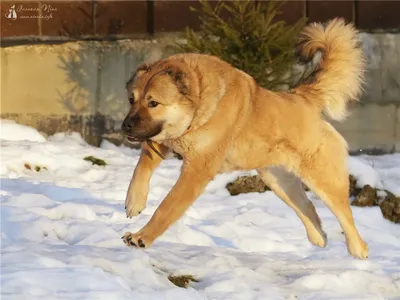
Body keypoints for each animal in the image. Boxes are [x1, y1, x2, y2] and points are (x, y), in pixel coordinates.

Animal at [121, 18, 368, 258]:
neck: (199, 105)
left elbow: (167, 207)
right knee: (308, 208)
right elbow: (140, 168)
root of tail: (302, 98)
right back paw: (318, 237)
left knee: (346, 219)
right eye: (131, 100)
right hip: (279, 182)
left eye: (153, 103)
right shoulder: (159, 140)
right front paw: (134, 201)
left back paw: (359, 252)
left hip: (323, 181)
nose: (125, 126)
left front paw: (142, 236)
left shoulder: (197, 171)